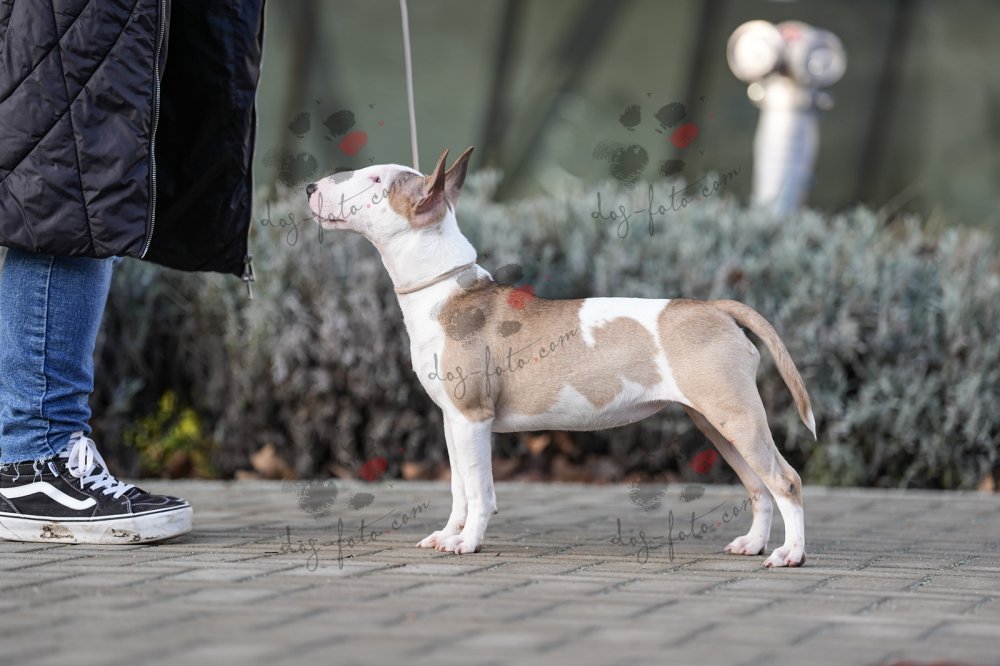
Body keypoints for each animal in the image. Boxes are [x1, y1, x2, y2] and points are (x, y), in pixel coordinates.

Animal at [306, 147, 816, 567]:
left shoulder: (473, 418)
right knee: (758, 486)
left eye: (376, 180)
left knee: (787, 480)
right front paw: (448, 534)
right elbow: (459, 488)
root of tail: (718, 308)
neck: (447, 290)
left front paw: (467, 542)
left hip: (737, 417)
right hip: (715, 423)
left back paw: (790, 554)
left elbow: (479, 490)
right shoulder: (453, 419)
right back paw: (754, 544)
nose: (310, 188)